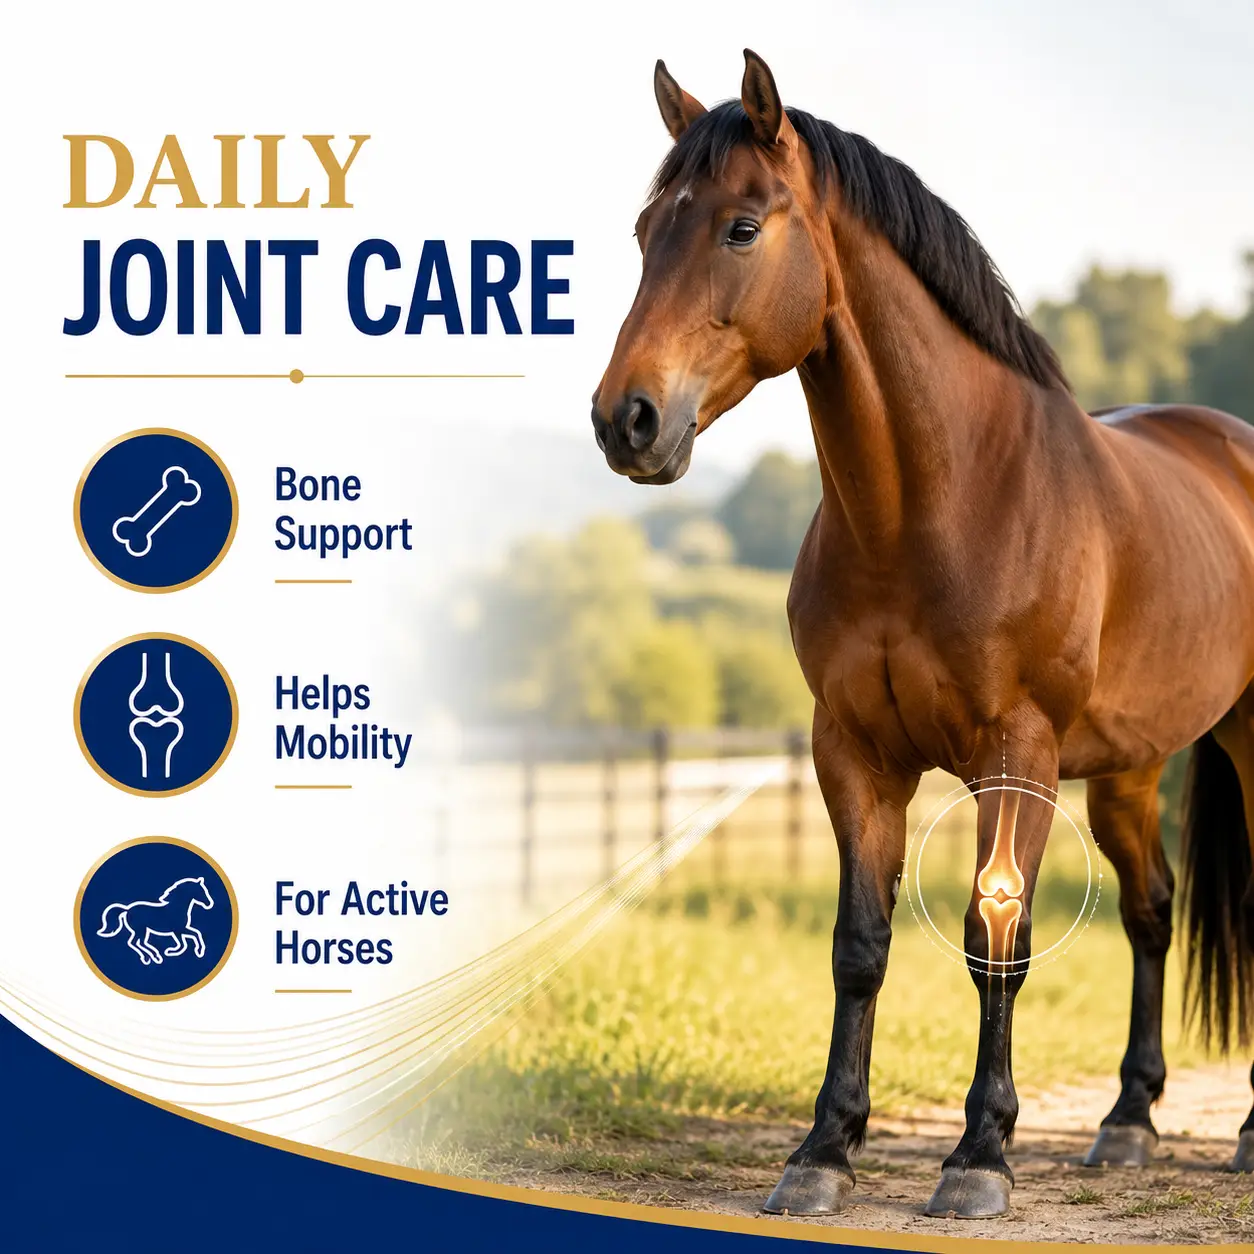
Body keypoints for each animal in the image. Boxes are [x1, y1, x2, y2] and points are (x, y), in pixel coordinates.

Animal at [591, 50, 1254, 1219]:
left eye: (740, 228)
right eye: (644, 232)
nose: (626, 421)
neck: (938, 505)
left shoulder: (1016, 753)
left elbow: (999, 937)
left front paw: (979, 1156)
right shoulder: (853, 752)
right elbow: (860, 946)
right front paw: (822, 1151)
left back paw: (1248, 1132)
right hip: (1131, 766)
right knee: (1152, 911)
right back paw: (1127, 1123)